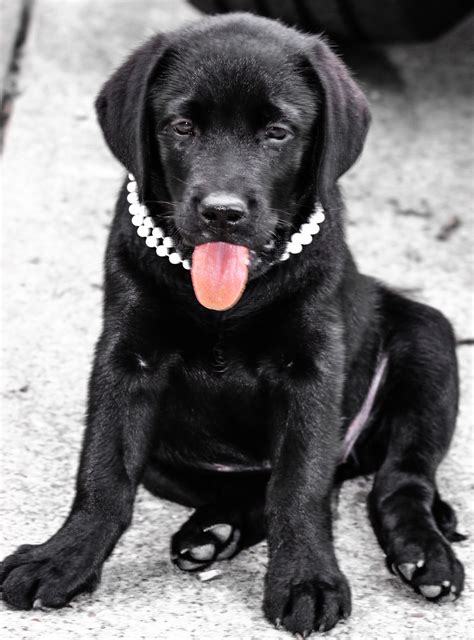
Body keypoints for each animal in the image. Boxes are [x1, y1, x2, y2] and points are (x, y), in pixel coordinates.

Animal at [0, 15, 464, 636]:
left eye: (277, 133)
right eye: (181, 126)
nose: (223, 213)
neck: (227, 300)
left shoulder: (311, 369)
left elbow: (299, 485)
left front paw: (306, 578)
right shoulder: (126, 358)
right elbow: (103, 473)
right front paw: (65, 558)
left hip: (429, 346)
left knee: (399, 483)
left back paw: (424, 556)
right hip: (169, 457)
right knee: (248, 486)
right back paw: (214, 531)